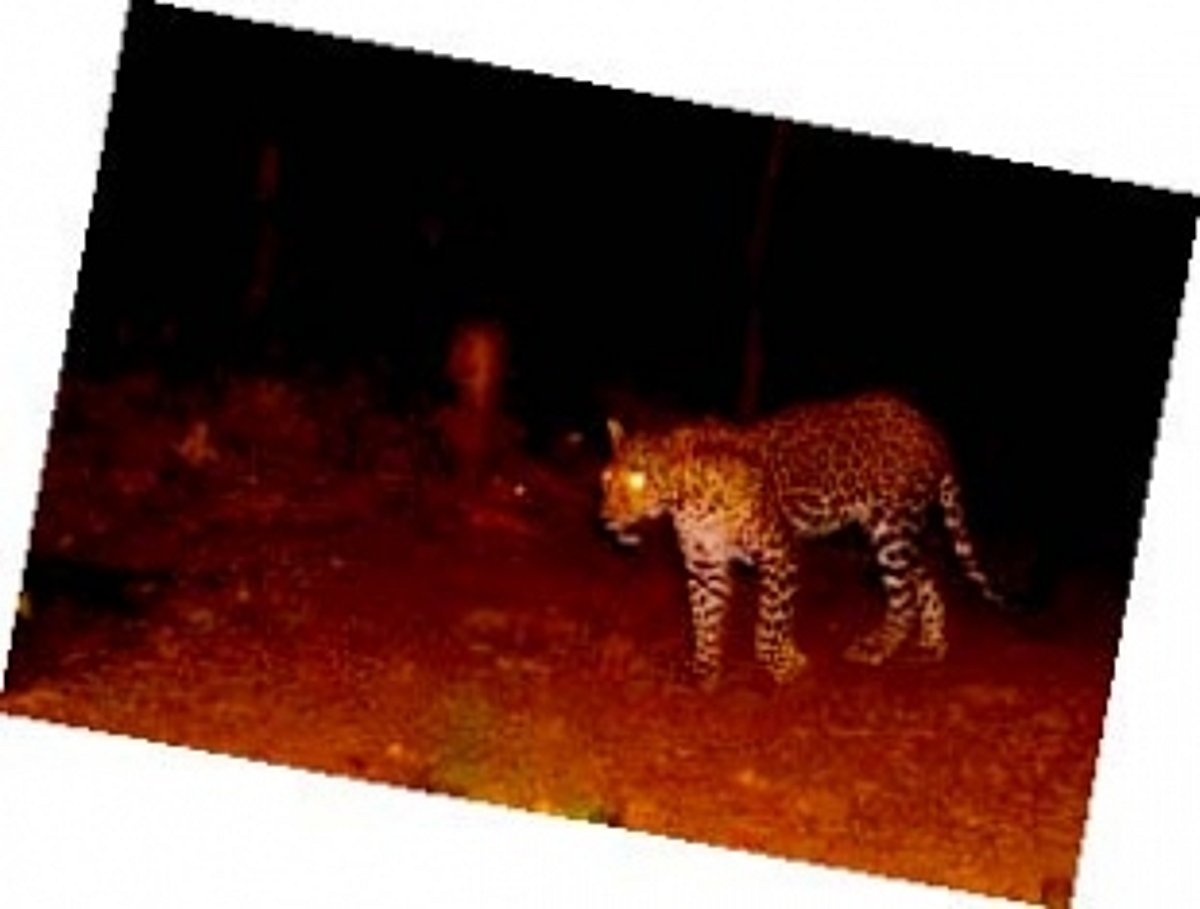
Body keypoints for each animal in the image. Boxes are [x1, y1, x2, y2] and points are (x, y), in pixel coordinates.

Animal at [598, 390, 1007, 687]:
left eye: (640, 479)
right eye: (606, 480)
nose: (605, 519)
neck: (690, 502)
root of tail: (928, 425)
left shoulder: (779, 553)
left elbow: (767, 626)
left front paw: (786, 666)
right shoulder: (704, 561)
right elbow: (704, 618)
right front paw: (704, 670)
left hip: (893, 529)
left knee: (903, 597)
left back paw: (874, 649)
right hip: (891, 532)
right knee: (923, 579)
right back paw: (932, 646)